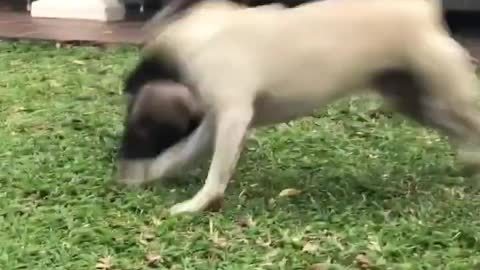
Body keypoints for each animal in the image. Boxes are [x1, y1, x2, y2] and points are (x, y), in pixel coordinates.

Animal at [118, 0, 480, 215]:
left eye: (140, 128)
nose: (122, 163)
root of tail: (424, 11)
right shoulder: (216, 121)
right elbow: (181, 153)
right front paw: (152, 173)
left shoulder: (232, 117)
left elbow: (215, 171)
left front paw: (200, 202)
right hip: (413, 97)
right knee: (454, 126)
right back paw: (470, 159)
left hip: (444, 88)